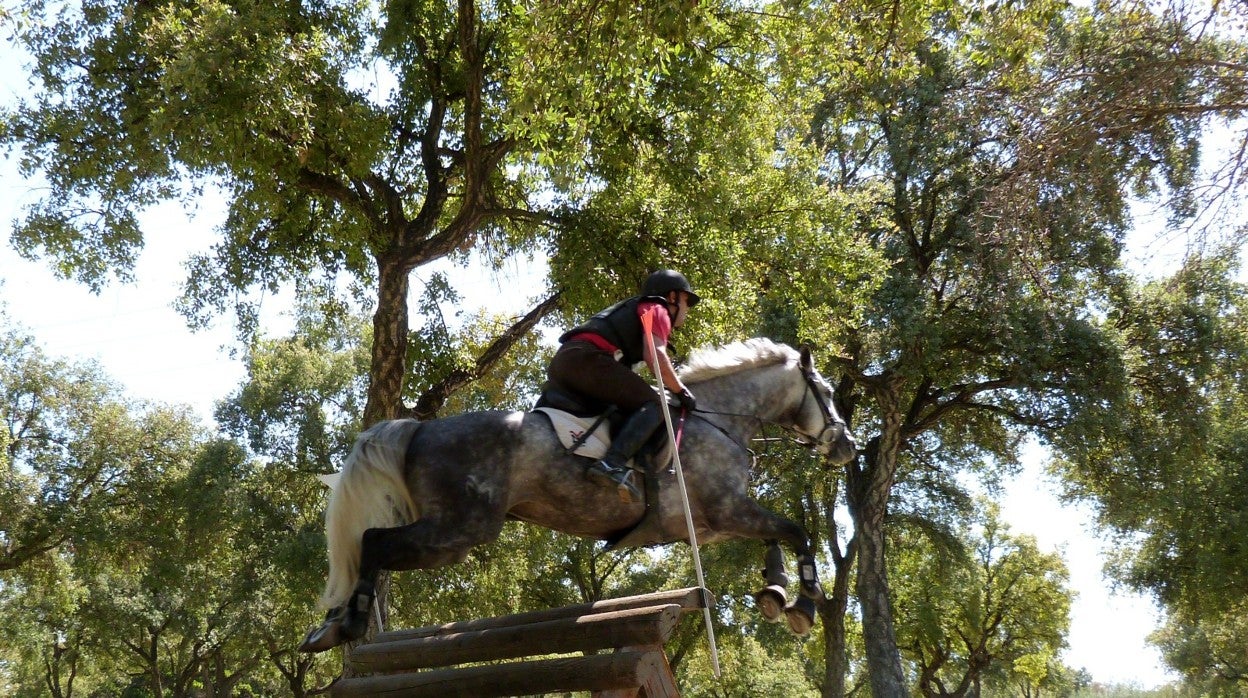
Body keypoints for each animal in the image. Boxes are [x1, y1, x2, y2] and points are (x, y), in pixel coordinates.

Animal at [299, 337, 858, 654]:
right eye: (828, 394)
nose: (848, 447)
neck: (717, 419)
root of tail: (419, 429)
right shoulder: (727, 508)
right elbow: (795, 529)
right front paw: (804, 605)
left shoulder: (714, 523)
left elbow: (775, 536)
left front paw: (775, 591)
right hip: (457, 532)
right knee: (373, 542)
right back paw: (345, 624)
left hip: (448, 531)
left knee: (370, 546)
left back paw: (328, 628)